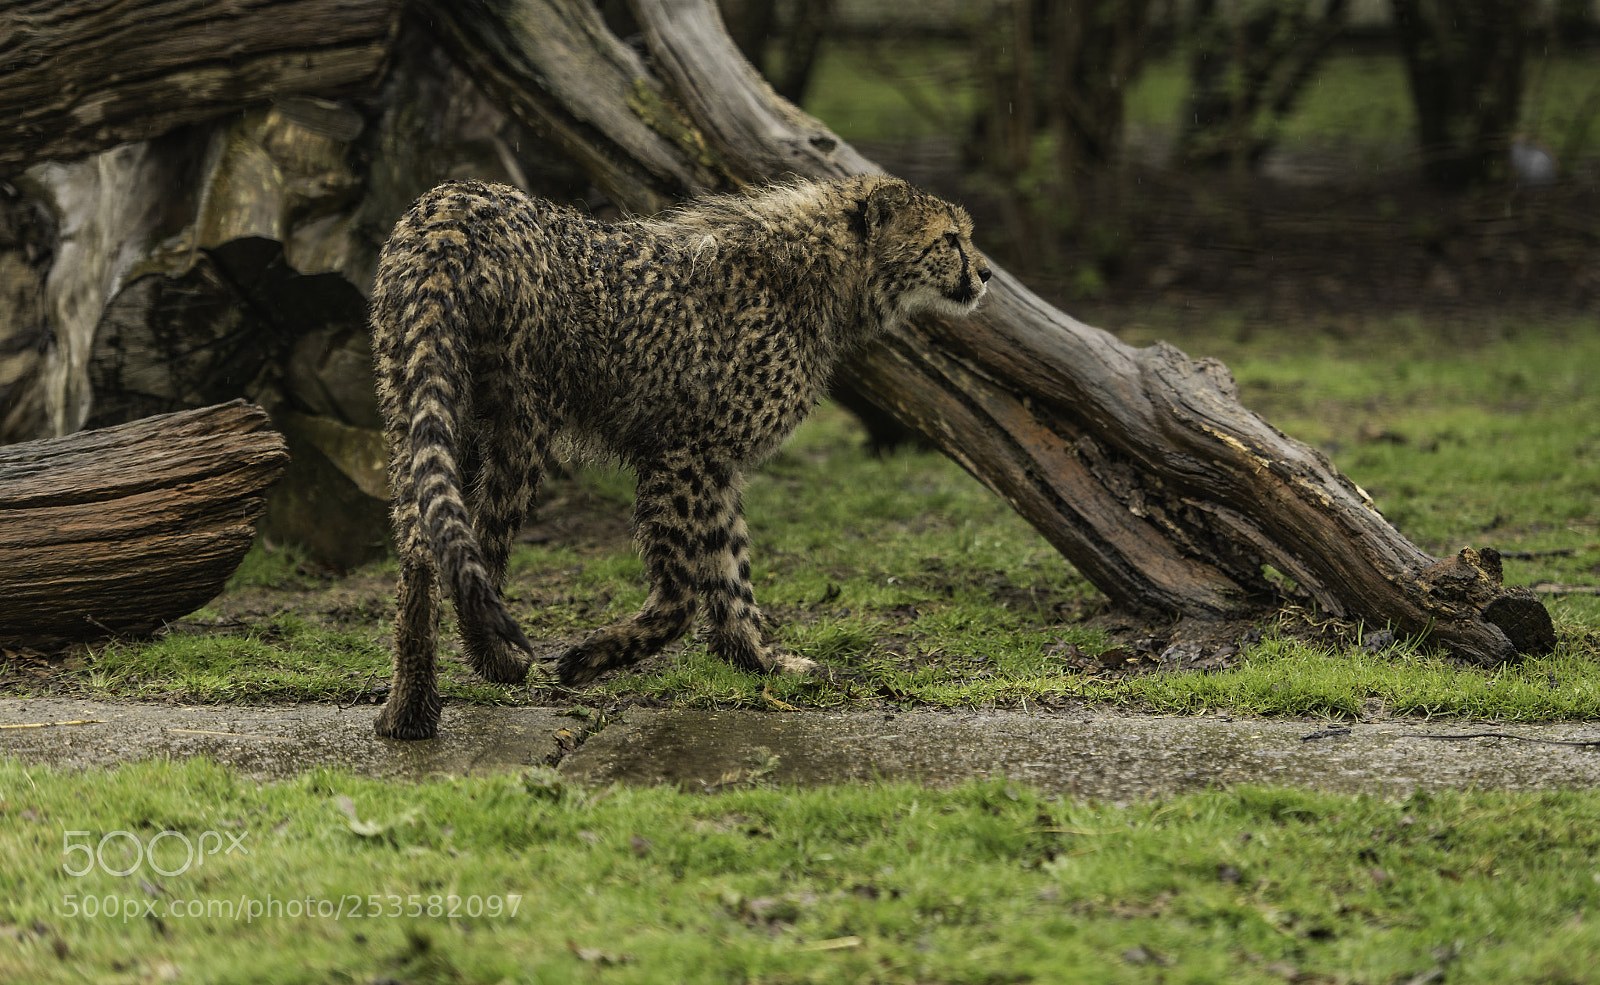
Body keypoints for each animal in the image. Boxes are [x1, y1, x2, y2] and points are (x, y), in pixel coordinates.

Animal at [369, 173, 991, 739]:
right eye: (950, 239)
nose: (985, 273)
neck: (823, 276)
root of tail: (454, 207)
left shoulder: (716, 466)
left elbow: (731, 574)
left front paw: (762, 662)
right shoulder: (683, 453)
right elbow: (684, 593)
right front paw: (587, 658)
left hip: (416, 397)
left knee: (421, 544)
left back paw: (409, 712)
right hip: (523, 419)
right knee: (480, 541)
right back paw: (496, 661)